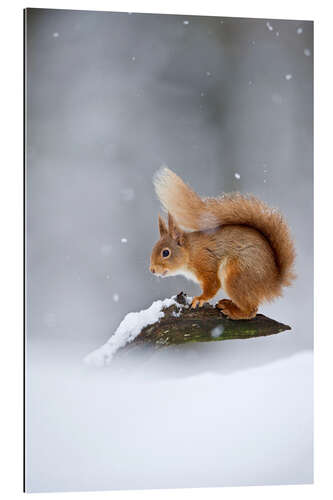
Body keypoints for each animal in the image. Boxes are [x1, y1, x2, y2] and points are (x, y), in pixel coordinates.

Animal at [149, 166, 294, 318]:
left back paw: (231, 310)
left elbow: (213, 285)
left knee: (251, 310)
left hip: (237, 275)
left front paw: (200, 298)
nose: (152, 270)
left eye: (166, 253)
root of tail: (272, 283)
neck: (191, 251)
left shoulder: (206, 262)